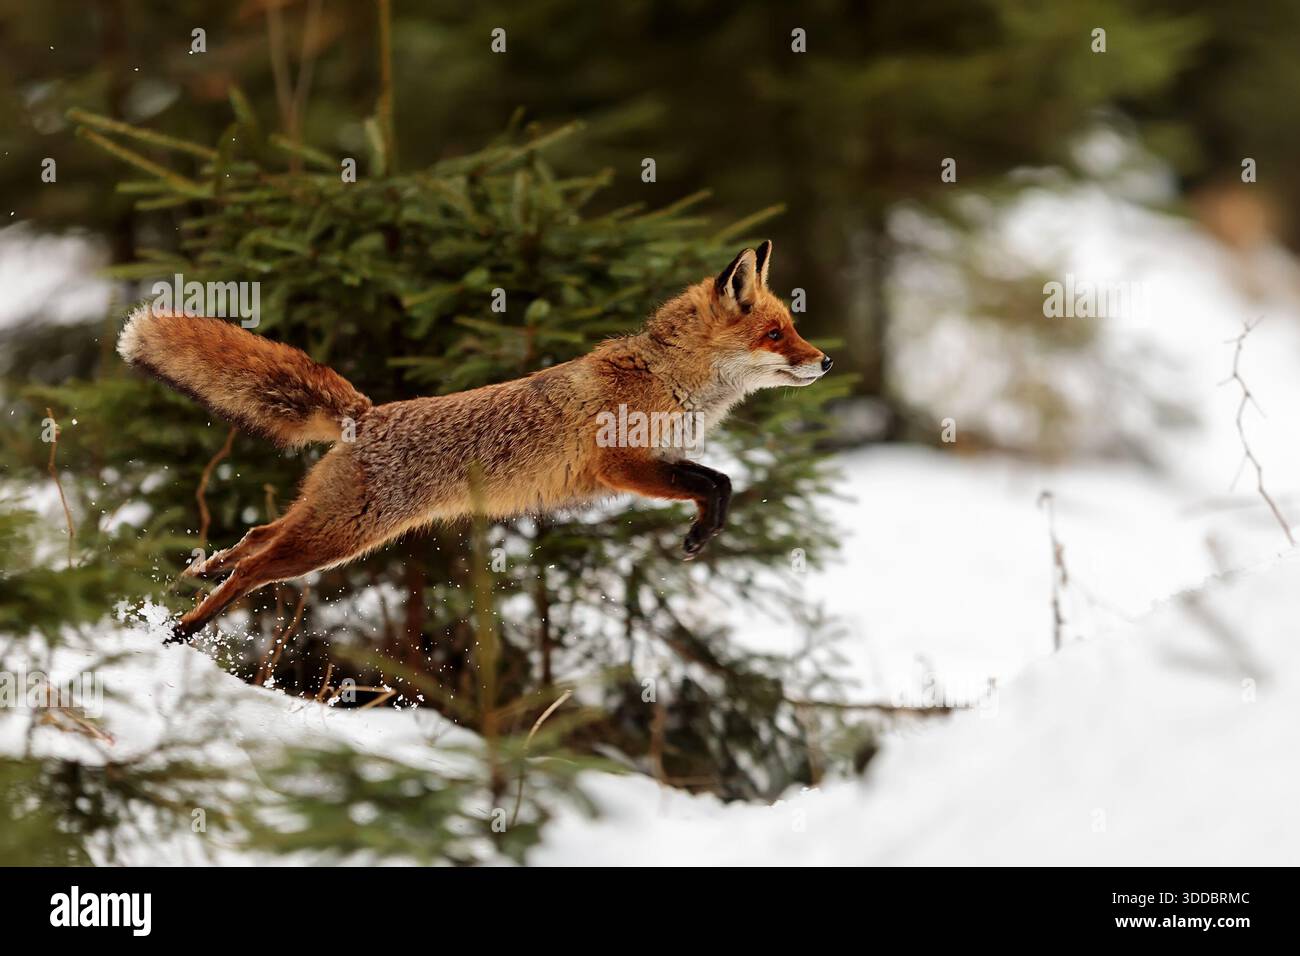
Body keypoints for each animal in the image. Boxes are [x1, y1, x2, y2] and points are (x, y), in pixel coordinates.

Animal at [117, 241, 831, 641]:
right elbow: (715, 483)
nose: (824, 362)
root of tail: (366, 414)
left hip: (325, 526)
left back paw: (203, 572)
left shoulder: (657, 460)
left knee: (256, 538)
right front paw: (699, 532)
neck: (668, 379)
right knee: (258, 566)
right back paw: (185, 629)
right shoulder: (621, 465)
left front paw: (704, 531)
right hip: (340, 537)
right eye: (776, 335)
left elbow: (719, 481)